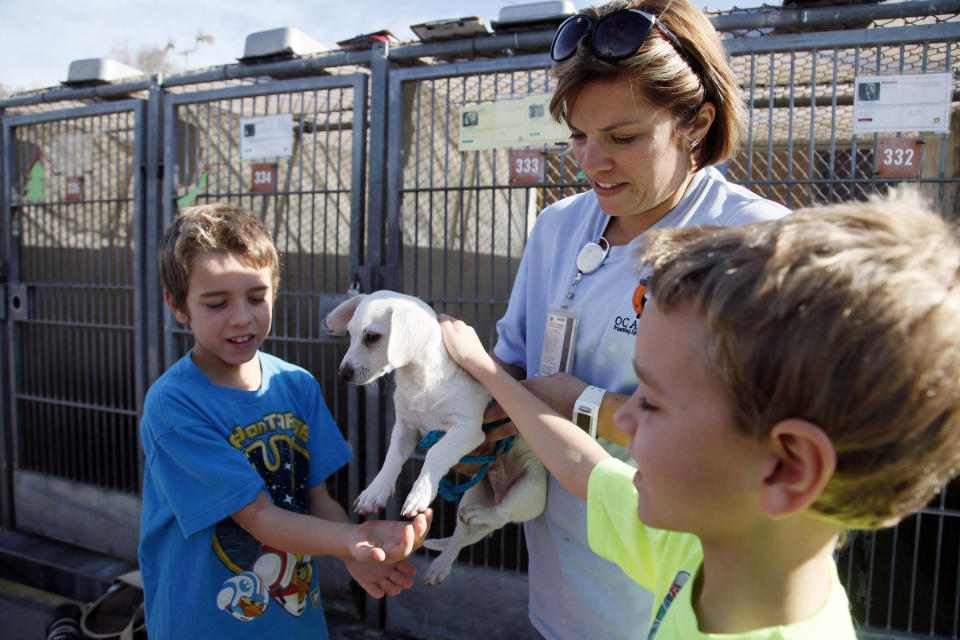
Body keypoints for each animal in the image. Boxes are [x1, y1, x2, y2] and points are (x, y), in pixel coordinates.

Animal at [324, 292, 544, 584]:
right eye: (348, 334)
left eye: (371, 337)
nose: (342, 374)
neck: (419, 381)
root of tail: (497, 494)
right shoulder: (405, 427)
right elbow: (391, 459)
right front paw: (375, 491)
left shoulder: (466, 430)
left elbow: (435, 454)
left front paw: (420, 492)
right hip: (472, 497)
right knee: (461, 537)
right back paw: (441, 564)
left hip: (530, 490)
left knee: (501, 515)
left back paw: (482, 515)